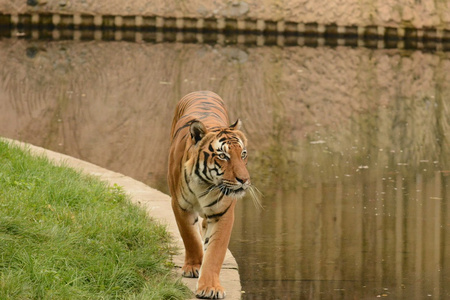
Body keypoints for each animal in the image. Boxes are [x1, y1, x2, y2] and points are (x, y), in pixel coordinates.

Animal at [169, 91, 251, 298]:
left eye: (243, 154)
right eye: (223, 156)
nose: (244, 180)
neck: (204, 183)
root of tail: (202, 91)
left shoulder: (223, 212)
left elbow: (215, 252)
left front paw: (210, 287)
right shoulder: (180, 205)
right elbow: (190, 238)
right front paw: (194, 266)